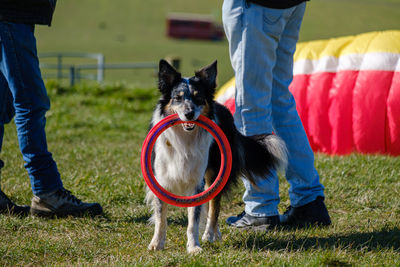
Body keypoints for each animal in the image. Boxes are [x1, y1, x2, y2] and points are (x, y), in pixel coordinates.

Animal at [147, 59, 288, 254]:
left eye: (198, 97)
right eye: (178, 97)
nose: (189, 114)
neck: (184, 137)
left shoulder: (197, 182)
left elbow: (194, 220)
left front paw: (194, 247)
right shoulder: (160, 179)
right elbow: (161, 218)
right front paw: (156, 244)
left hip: (215, 174)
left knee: (214, 208)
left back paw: (210, 235)